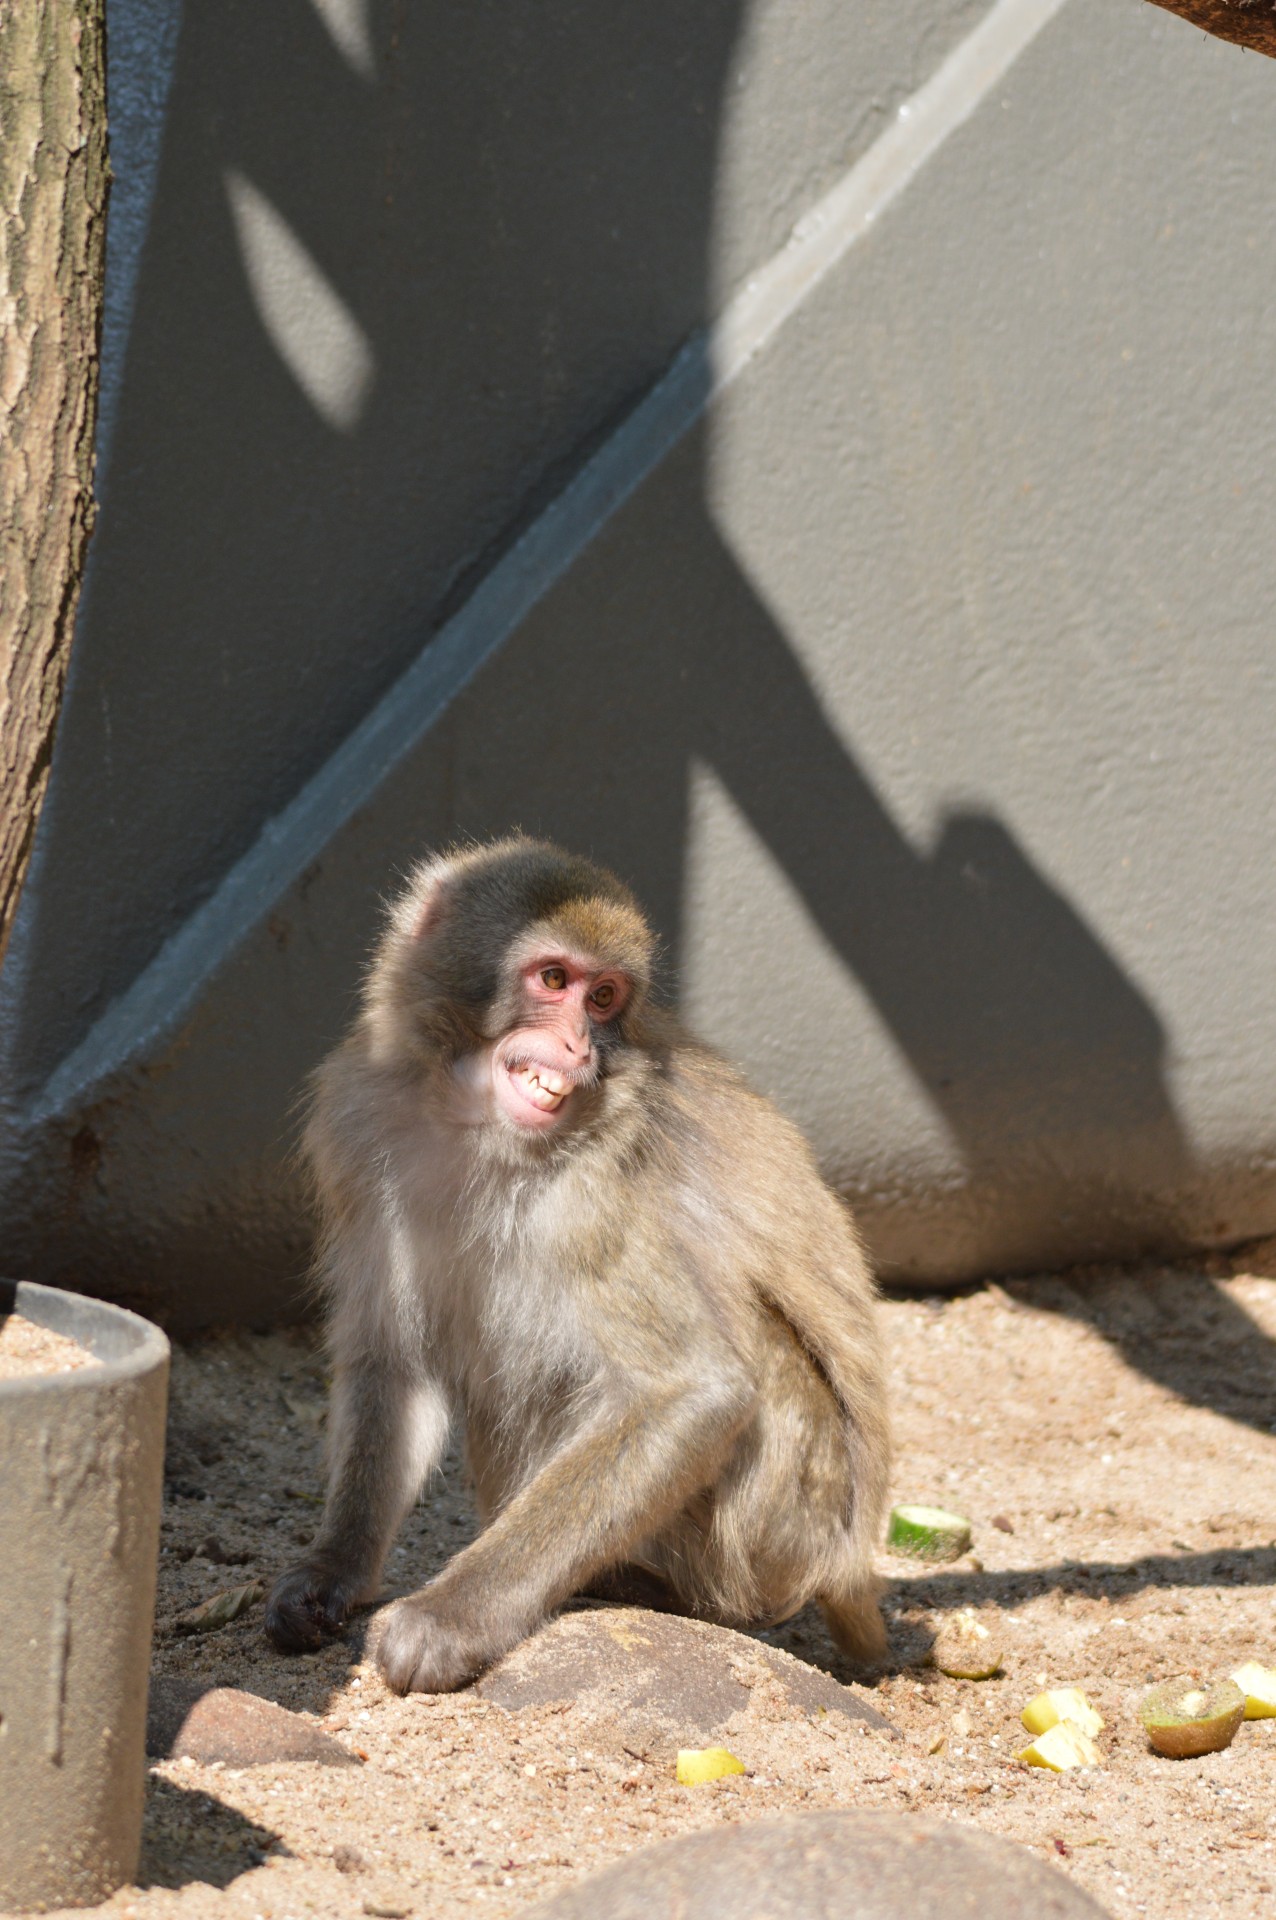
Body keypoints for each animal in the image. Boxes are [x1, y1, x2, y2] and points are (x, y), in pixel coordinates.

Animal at [264, 840, 890, 1697]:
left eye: (603, 998)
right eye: (553, 980)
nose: (577, 1047)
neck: (472, 1123)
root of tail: (845, 1566)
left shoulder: (597, 1185)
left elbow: (692, 1391)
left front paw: (452, 1618)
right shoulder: (357, 1124)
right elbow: (391, 1362)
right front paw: (332, 1572)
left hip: (781, 1522)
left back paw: (653, 1591)